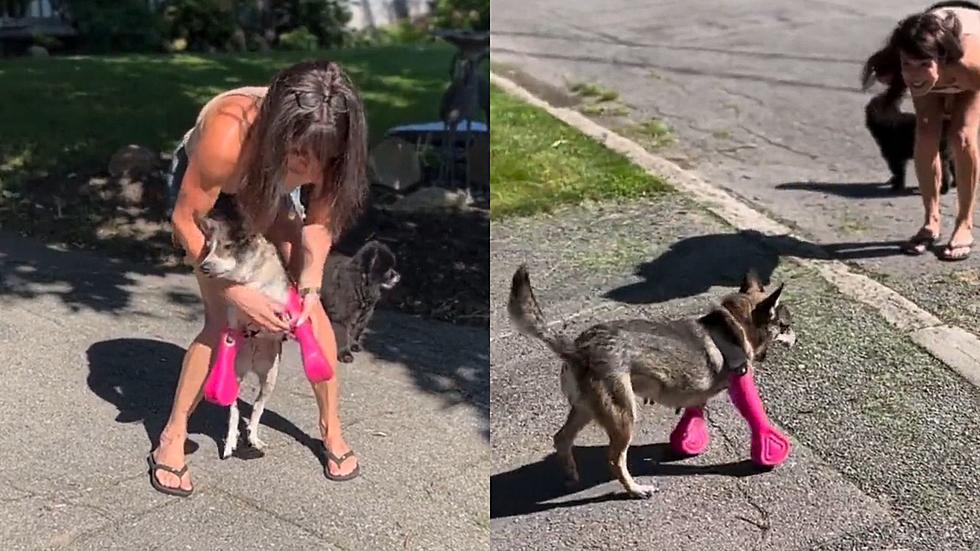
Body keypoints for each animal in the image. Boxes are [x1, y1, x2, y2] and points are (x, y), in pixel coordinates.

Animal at [195, 207, 290, 462]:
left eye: (227, 246)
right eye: (208, 247)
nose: (204, 267)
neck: (250, 277)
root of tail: (252, 364)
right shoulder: (235, 309)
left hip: (270, 379)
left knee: (256, 410)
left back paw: (253, 437)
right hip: (234, 378)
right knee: (234, 413)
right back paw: (230, 442)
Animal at [510, 266, 792, 500]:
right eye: (786, 326)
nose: (795, 336)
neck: (735, 323)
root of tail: (579, 348)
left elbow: (694, 409)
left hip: (584, 409)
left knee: (561, 439)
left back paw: (571, 475)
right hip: (623, 416)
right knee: (614, 459)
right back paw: (635, 489)